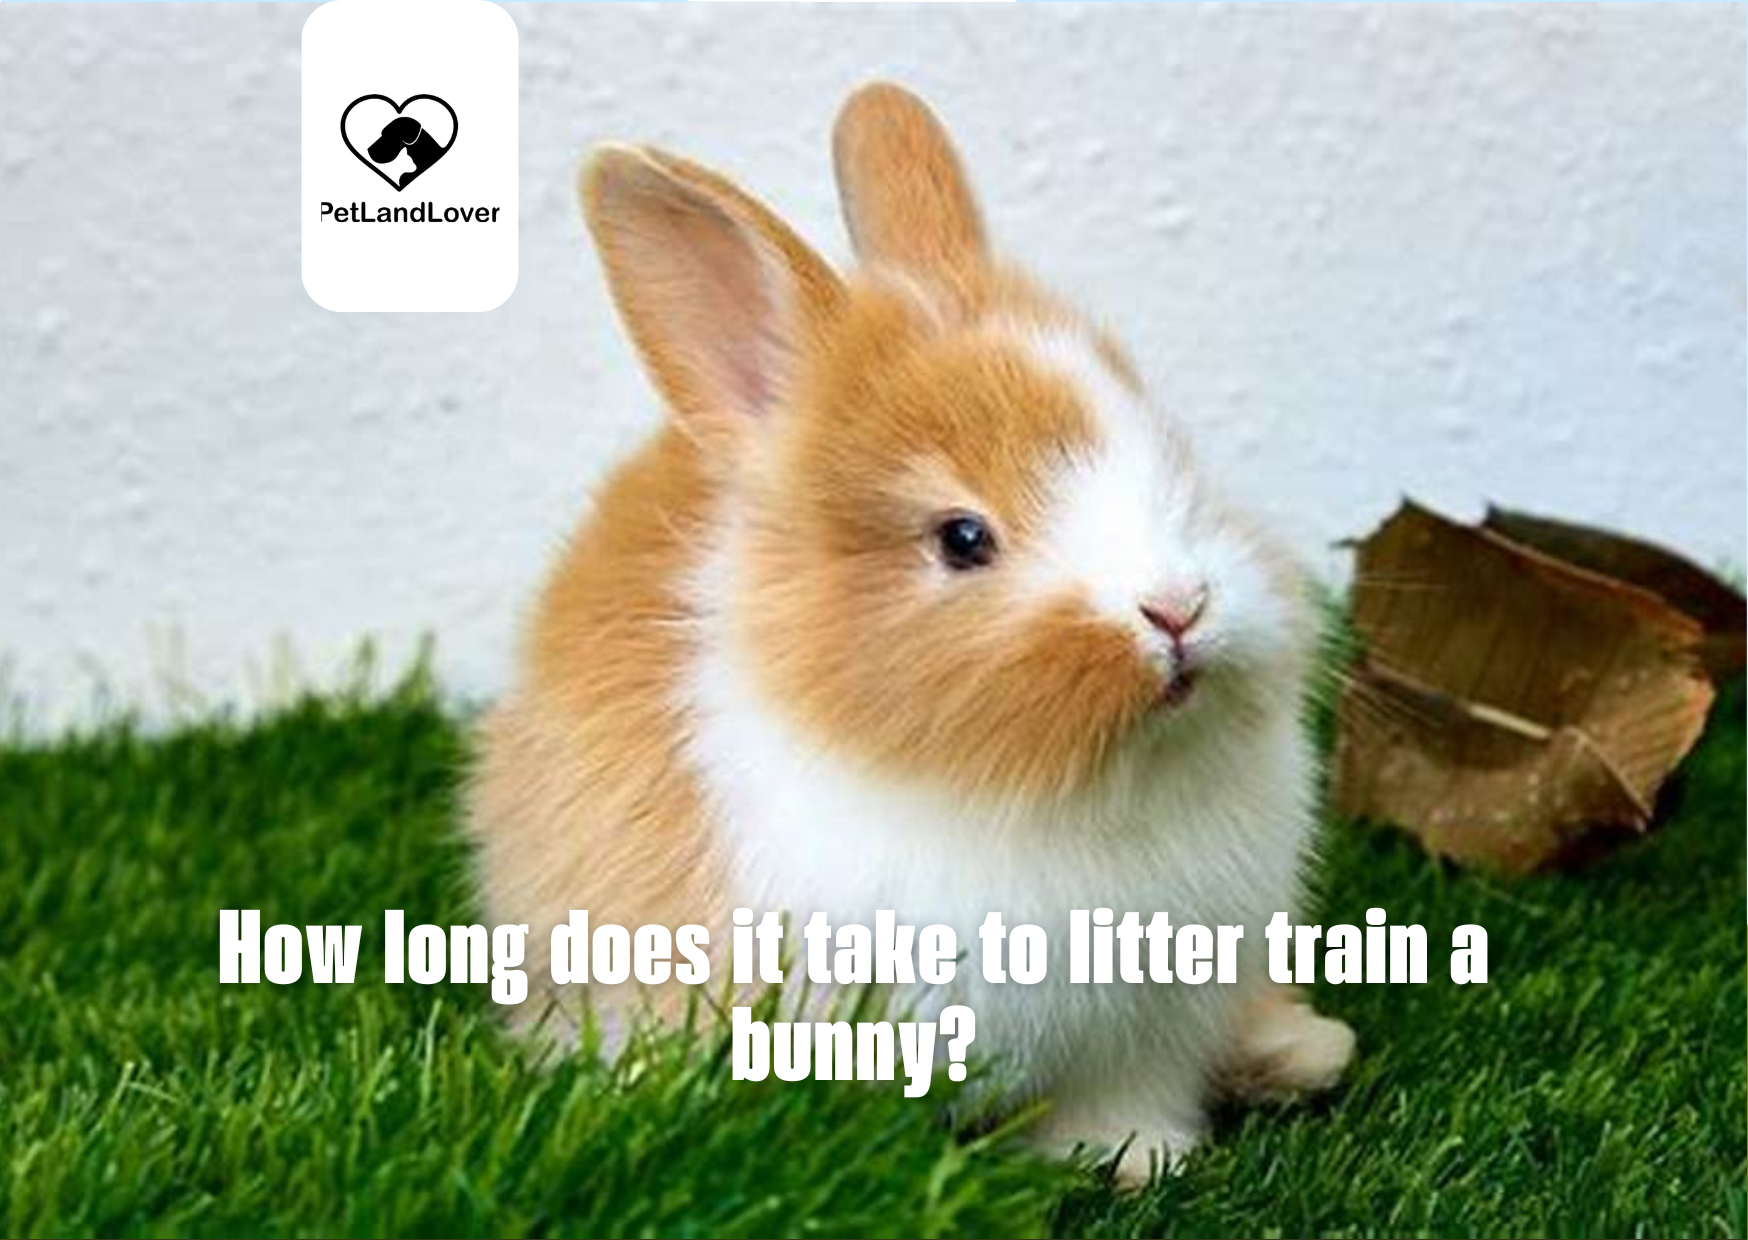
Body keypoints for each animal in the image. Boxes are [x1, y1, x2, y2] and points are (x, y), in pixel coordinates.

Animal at [468, 81, 1354, 1181]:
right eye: (962, 538)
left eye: (1169, 451)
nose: (1177, 607)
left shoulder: (1140, 1031)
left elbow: (1120, 1098)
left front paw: (1134, 1158)